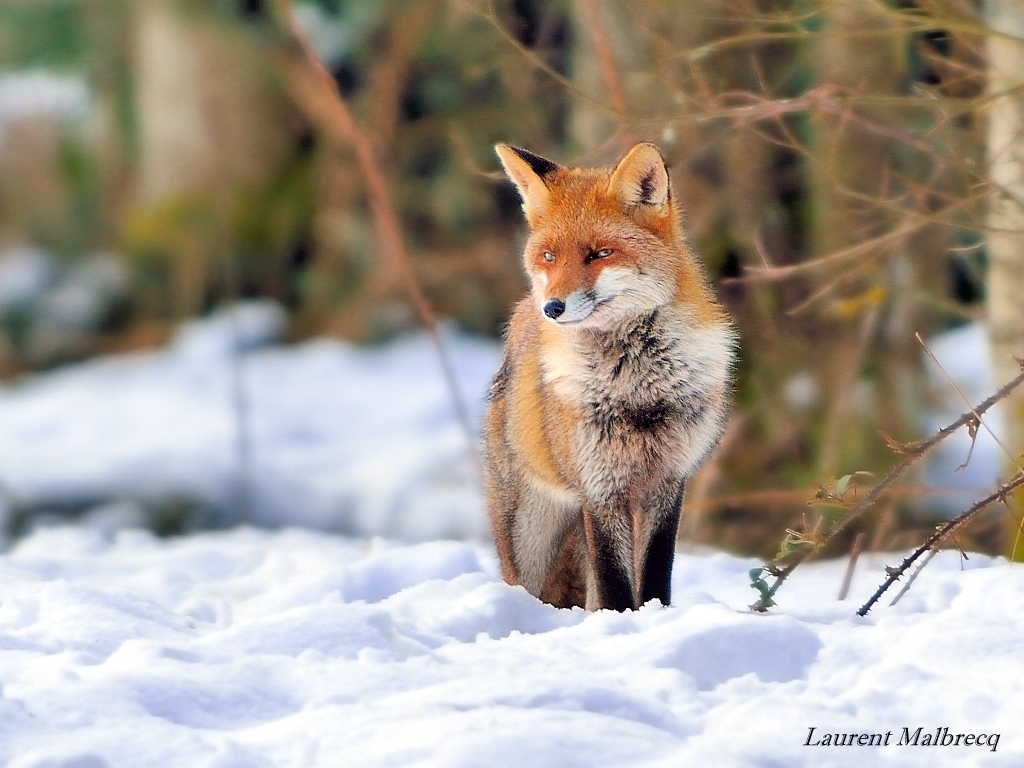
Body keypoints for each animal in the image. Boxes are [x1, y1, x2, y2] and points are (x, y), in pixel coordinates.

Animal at [479, 143, 737, 614]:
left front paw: (654, 617)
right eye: (549, 257)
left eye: (600, 253)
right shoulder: (598, 490)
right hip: (530, 538)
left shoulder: (666, 482)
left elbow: (654, 577)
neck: (634, 387)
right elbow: (615, 586)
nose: (553, 308)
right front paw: (621, 623)